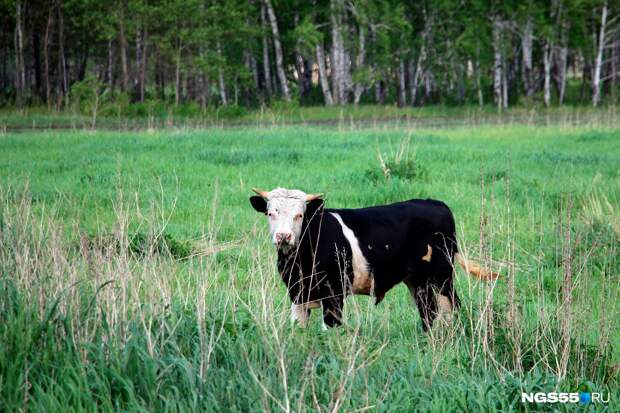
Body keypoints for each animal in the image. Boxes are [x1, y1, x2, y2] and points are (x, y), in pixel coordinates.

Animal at [249, 188, 496, 330]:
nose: (283, 236)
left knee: (449, 306)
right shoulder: (296, 293)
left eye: (299, 215)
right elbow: (298, 327)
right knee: (428, 309)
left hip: (442, 274)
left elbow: (331, 326)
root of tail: (435, 203)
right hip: (417, 279)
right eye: (270, 213)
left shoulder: (334, 292)